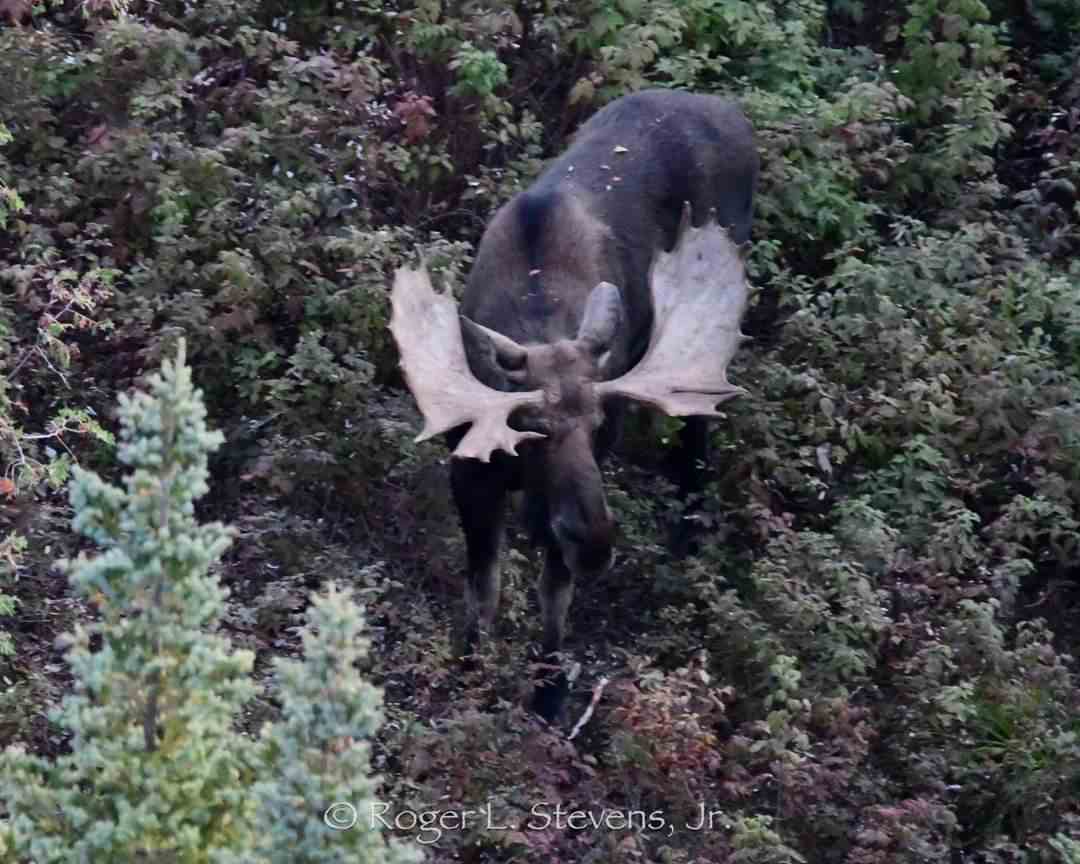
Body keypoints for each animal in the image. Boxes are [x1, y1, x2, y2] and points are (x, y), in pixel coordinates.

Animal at [393, 89, 756, 721]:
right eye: (531, 424)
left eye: (599, 424)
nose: (596, 544)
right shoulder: (469, 469)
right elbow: (482, 586)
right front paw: (467, 668)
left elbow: (553, 589)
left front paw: (549, 689)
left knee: (697, 421)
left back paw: (690, 530)